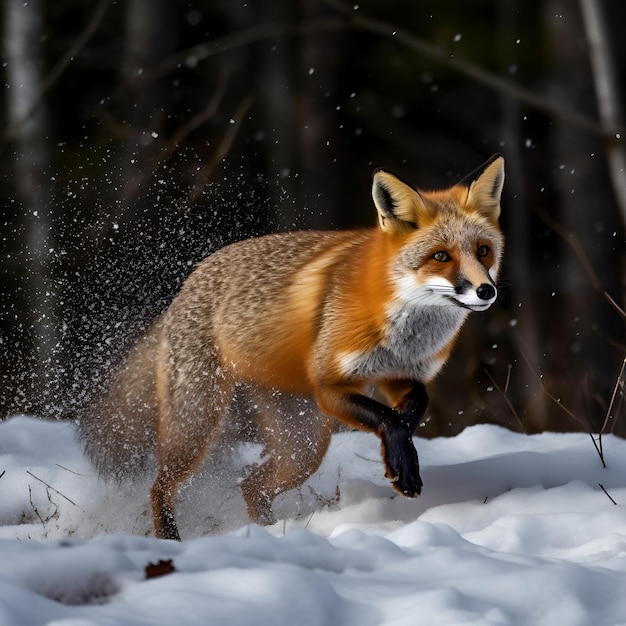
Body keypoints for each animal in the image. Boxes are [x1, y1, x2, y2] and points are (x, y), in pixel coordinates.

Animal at [80, 154, 504, 540]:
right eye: (440, 256)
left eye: (483, 251)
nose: (486, 291)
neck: (404, 327)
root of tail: (187, 284)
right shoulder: (329, 386)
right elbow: (388, 419)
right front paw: (403, 463)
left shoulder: (399, 375)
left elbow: (411, 409)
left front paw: (402, 453)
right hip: (200, 422)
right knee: (161, 487)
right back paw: (172, 540)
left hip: (303, 446)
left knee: (250, 486)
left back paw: (272, 535)